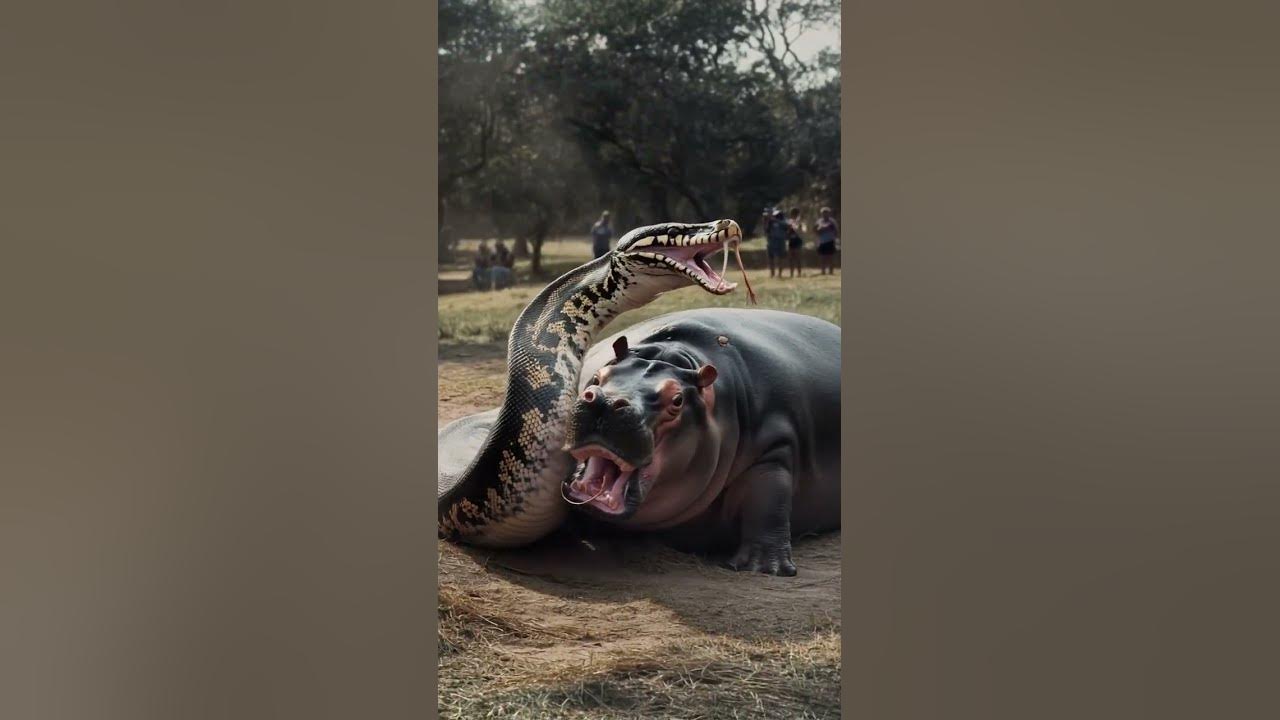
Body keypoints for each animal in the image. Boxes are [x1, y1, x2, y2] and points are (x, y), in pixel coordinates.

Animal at [562, 307, 840, 576]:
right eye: (598, 376)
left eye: (677, 400)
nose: (607, 401)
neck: (671, 355)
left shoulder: (774, 448)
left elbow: (769, 503)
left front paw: (764, 568)